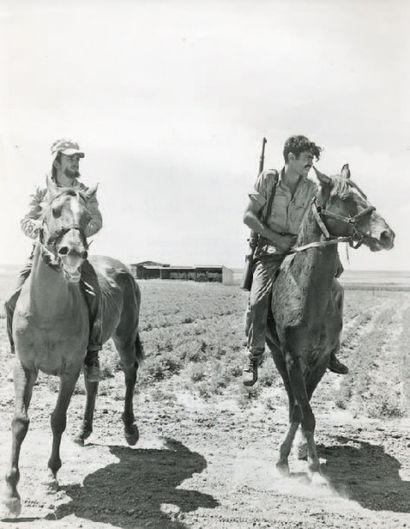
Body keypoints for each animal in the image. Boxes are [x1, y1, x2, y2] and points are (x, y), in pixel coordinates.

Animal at [3, 182, 143, 516]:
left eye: (88, 217)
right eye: (53, 211)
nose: (75, 253)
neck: (46, 310)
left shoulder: (68, 369)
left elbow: (57, 419)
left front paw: (51, 476)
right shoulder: (24, 366)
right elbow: (19, 421)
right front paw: (12, 493)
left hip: (124, 337)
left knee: (130, 373)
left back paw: (129, 429)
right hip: (92, 354)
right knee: (93, 381)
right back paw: (83, 432)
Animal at [266, 165, 394, 482]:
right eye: (347, 198)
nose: (387, 234)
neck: (308, 292)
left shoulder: (322, 359)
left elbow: (305, 412)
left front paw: (307, 459)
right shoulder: (292, 357)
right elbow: (302, 409)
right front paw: (288, 459)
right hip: (276, 355)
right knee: (291, 398)